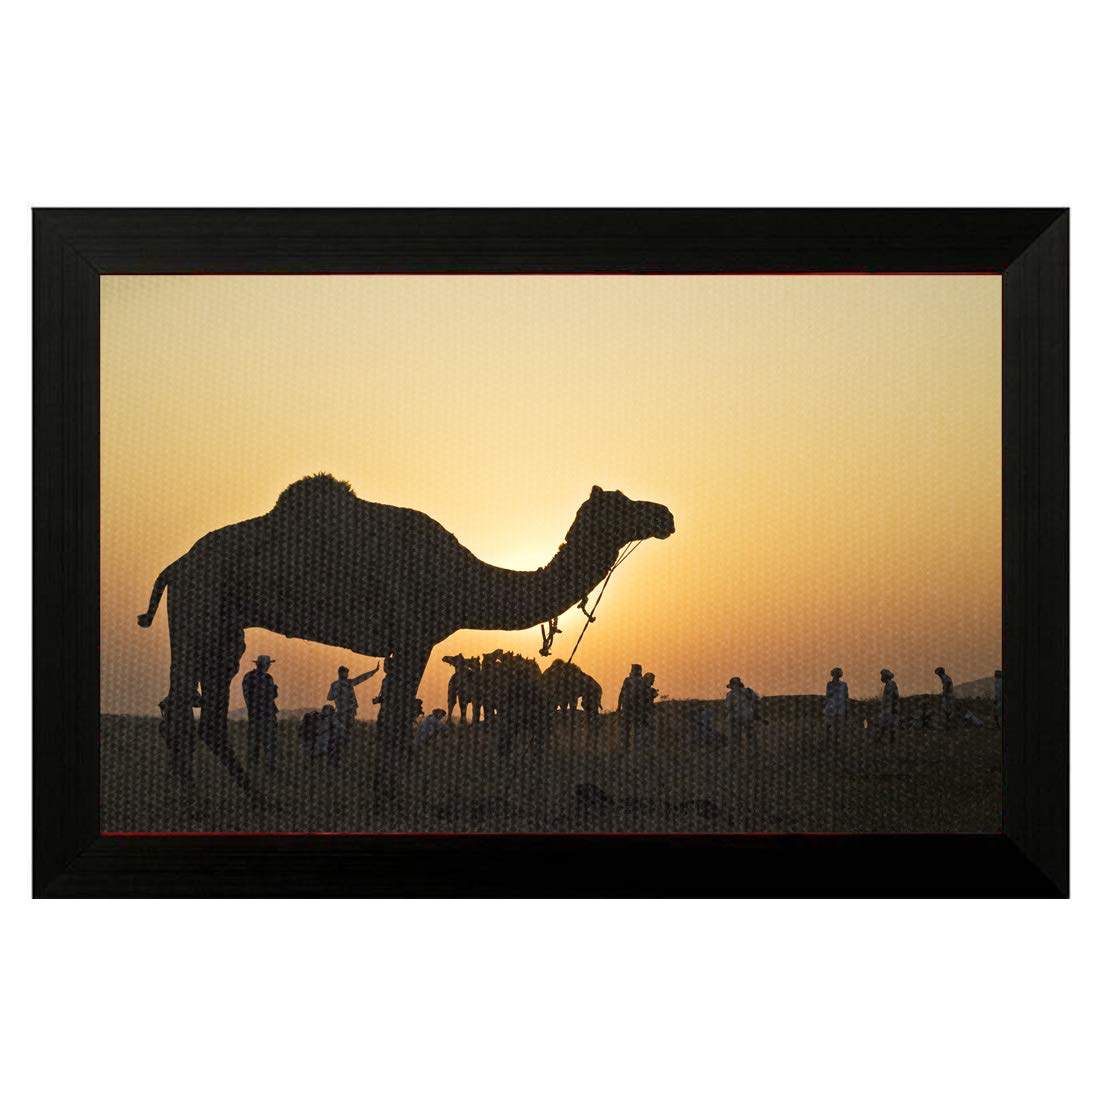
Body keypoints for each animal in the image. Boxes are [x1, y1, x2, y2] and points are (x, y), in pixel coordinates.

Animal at [137, 474, 674, 787]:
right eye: (622, 503)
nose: (664, 514)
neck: (462, 577)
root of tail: (174, 566)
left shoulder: (406, 643)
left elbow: (393, 723)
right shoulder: (415, 636)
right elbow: (394, 725)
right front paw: (386, 803)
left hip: (224, 627)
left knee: (206, 712)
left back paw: (256, 801)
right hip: (196, 607)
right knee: (181, 709)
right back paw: (198, 807)